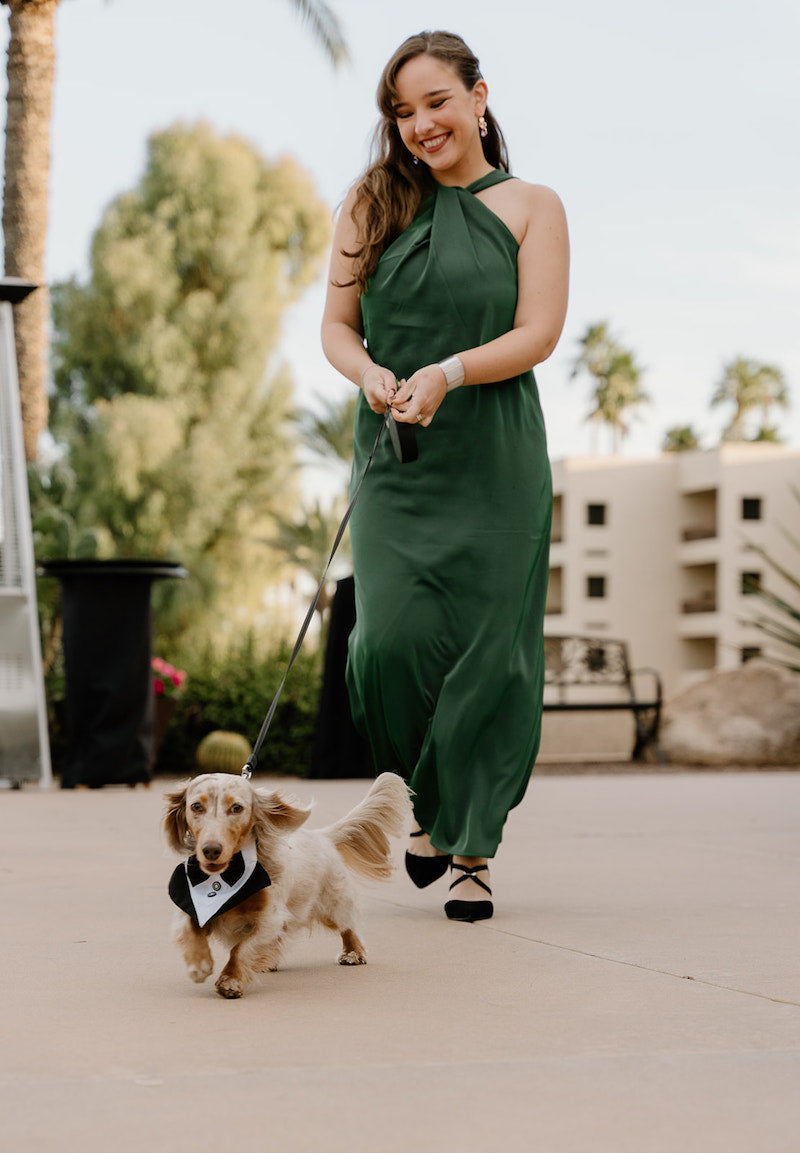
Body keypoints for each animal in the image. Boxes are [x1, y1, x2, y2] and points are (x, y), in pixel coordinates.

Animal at [164, 770, 412, 996]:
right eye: (196, 806)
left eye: (237, 808)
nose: (211, 850)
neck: (227, 877)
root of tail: (323, 836)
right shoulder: (193, 908)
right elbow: (191, 932)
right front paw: (199, 964)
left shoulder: (269, 919)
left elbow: (241, 949)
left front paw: (230, 980)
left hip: (333, 905)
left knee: (349, 926)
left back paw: (353, 953)